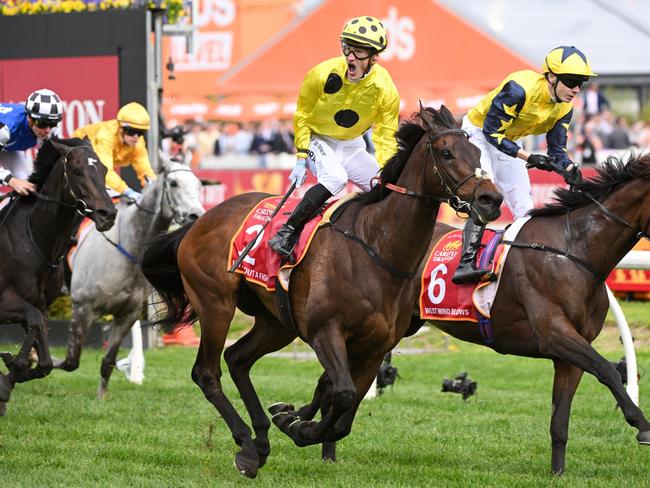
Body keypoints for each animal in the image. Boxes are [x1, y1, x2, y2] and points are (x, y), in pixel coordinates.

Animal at [0, 136, 115, 412]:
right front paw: (6, 380)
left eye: (104, 169)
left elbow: (45, 362)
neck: (34, 240)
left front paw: (10, 371)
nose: (108, 214)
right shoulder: (5, 301)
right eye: (77, 171)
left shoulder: (40, 305)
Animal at [55, 154, 204, 398]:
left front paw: (102, 397)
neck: (126, 246)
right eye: (173, 183)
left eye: (199, 184)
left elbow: (108, 361)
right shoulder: (83, 308)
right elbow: (69, 360)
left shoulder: (127, 314)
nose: (196, 215)